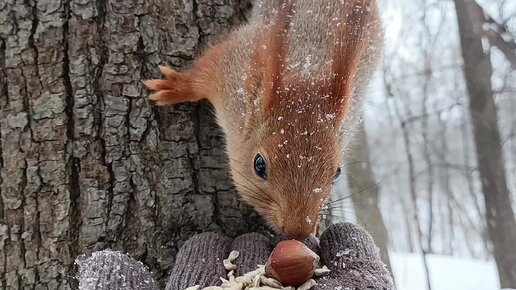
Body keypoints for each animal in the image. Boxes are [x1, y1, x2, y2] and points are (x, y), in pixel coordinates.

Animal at [144, 0, 382, 240]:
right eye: (259, 165)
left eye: (337, 173)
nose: (298, 231)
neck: (306, 73)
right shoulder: (232, 68)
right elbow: (204, 72)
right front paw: (174, 87)